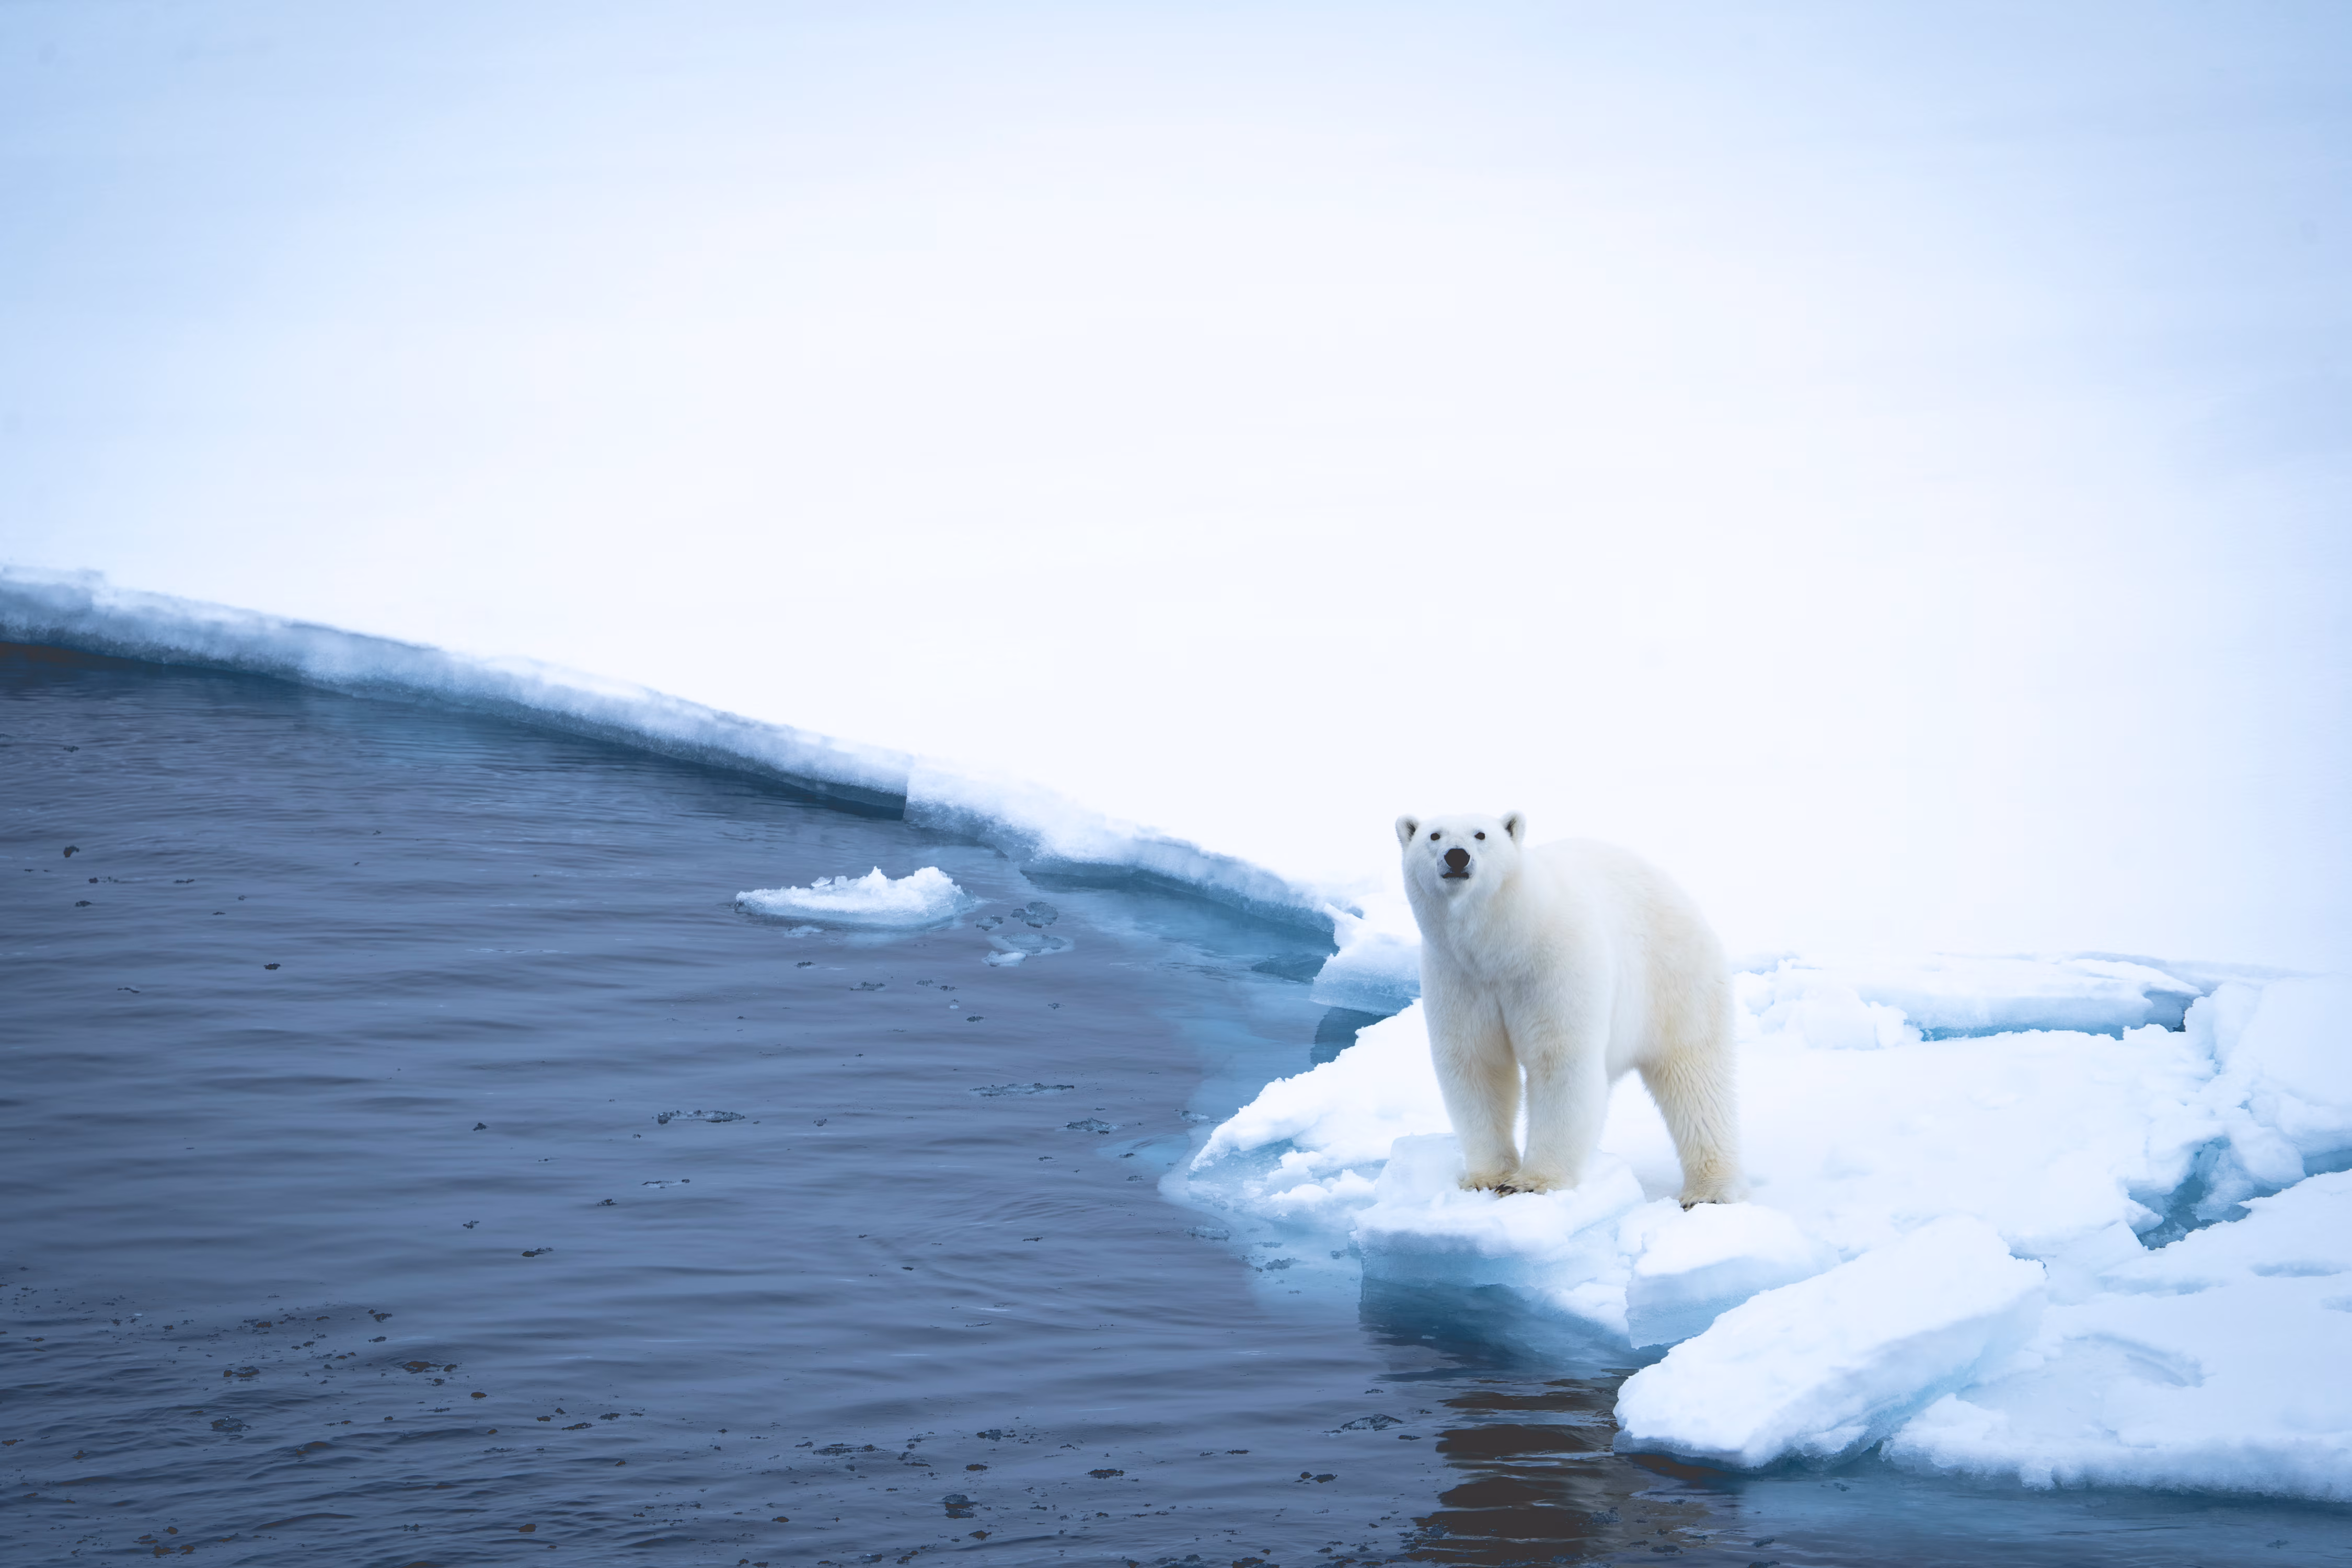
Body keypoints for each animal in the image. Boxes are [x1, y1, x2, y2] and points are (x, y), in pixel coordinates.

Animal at [1396, 811, 1743, 1206]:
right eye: (1434, 836)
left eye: (1480, 834)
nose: (1457, 856)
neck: (1504, 944)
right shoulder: (1459, 977)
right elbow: (1476, 1063)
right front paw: (1487, 1178)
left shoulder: (1554, 964)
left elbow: (1558, 1060)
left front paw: (1531, 1183)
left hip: (1674, 980)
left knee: (1696, 1080)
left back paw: (1709, 1191)